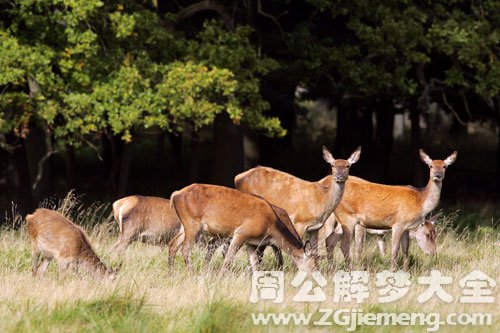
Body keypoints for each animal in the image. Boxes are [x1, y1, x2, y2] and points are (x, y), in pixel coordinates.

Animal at [170, 183, 314, 274]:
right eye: (314, 265)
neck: (270, 226)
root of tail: (175, 195)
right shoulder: (242, 233)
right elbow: (228, 259)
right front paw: (220, 278)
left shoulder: (251, 242)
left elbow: (255, 264)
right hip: (192, 223)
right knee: (185, 249)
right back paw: (192, 274)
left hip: (184, 226)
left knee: (173, 244)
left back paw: (171, 274)